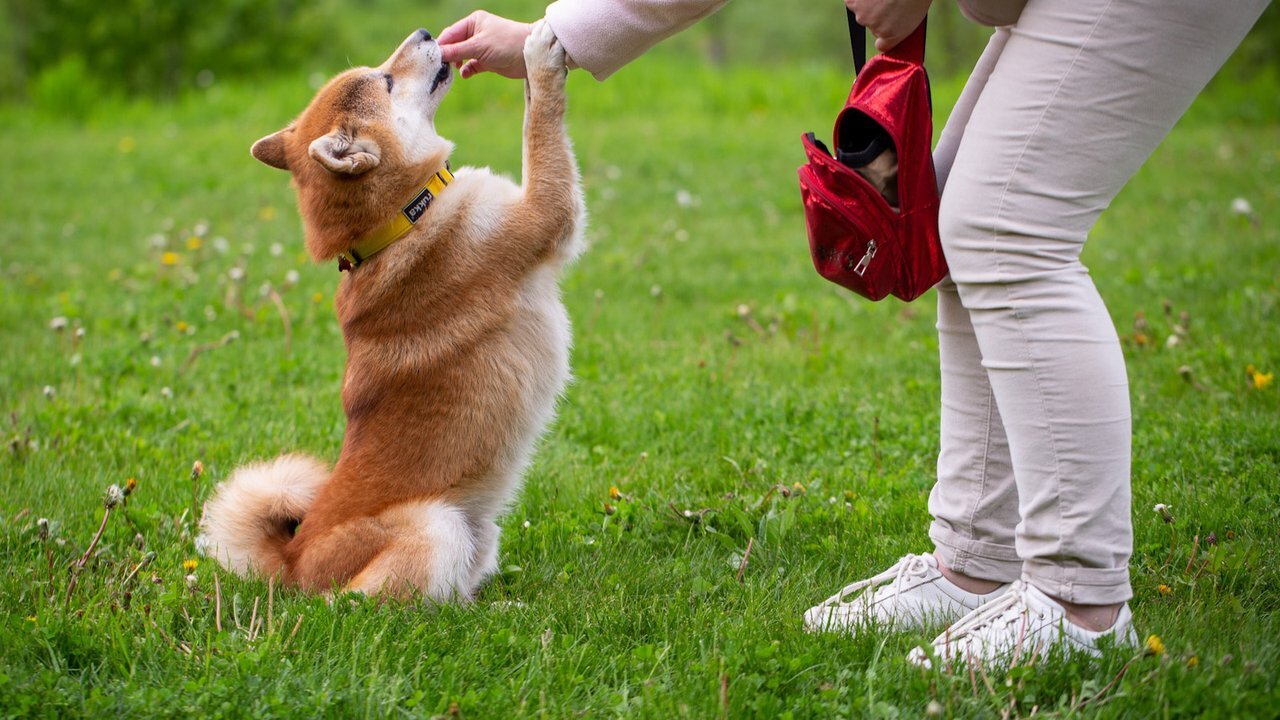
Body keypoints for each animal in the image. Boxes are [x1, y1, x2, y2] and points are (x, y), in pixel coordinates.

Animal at [198, 20, 586, 599]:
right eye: (384, 80)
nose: (426, 31)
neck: (403, 219)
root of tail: (292, 564)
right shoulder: (546, 212)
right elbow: (539, 121)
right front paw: (540, 55)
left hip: (476, 533)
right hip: (436, 526)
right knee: (378, 604)